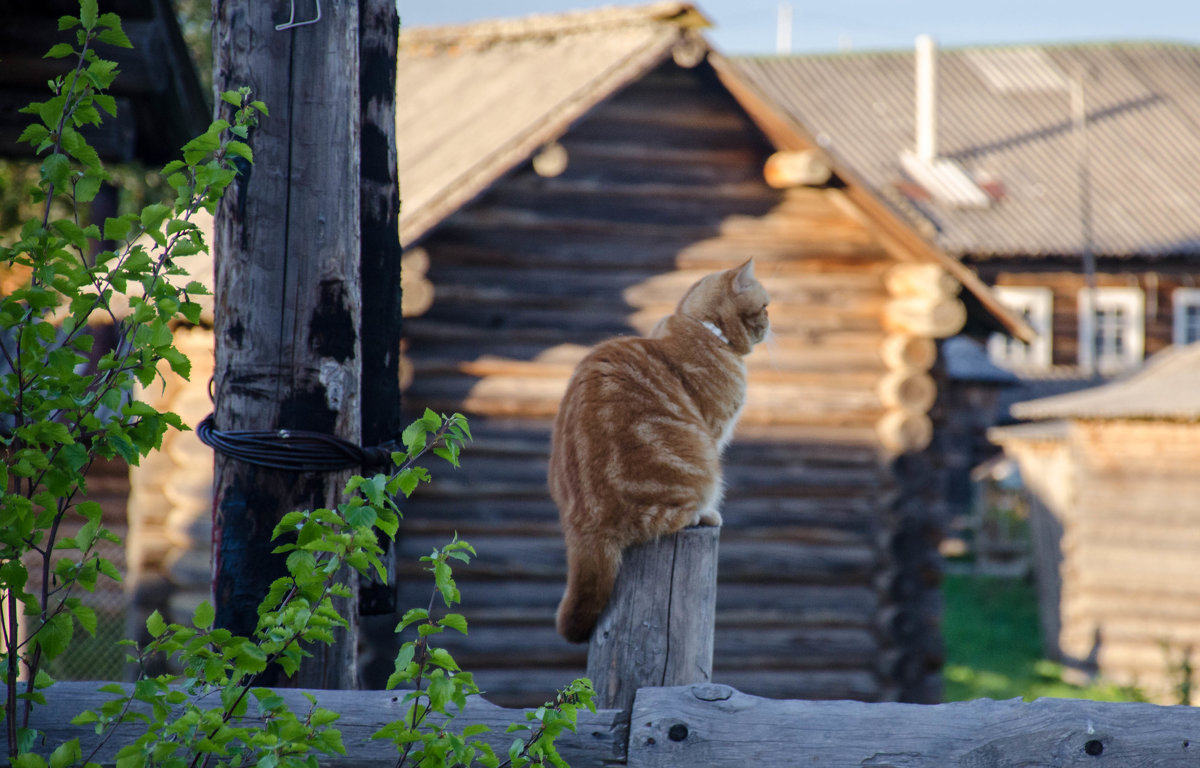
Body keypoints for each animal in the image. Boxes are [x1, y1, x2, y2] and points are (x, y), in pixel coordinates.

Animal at [549, 261, 768, 643]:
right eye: (766, 307)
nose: (771, 324)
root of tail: (582, 525)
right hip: (699, 465)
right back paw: (701, 515)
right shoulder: (713, 433)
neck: (706, 330)